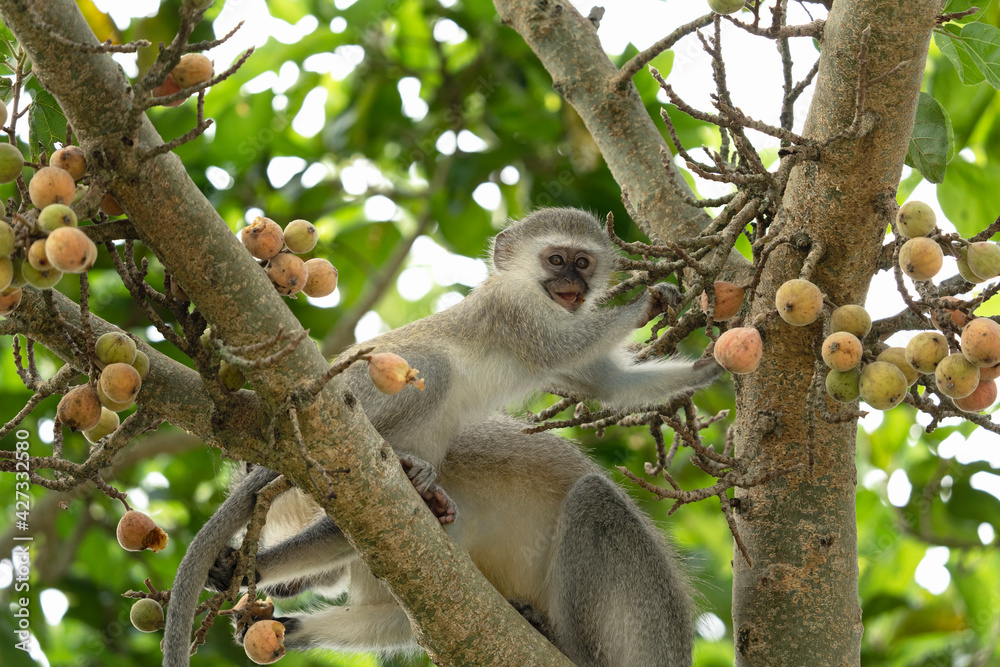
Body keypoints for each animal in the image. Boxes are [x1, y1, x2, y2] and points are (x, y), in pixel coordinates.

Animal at [162, 207, 719, 665]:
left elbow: (605, 382)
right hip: (358, 396)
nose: (570, 285)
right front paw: (646, 305)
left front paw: (708, 364)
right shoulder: (517, 313)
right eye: (556, 259)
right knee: (437, 375)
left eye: (582, 263)